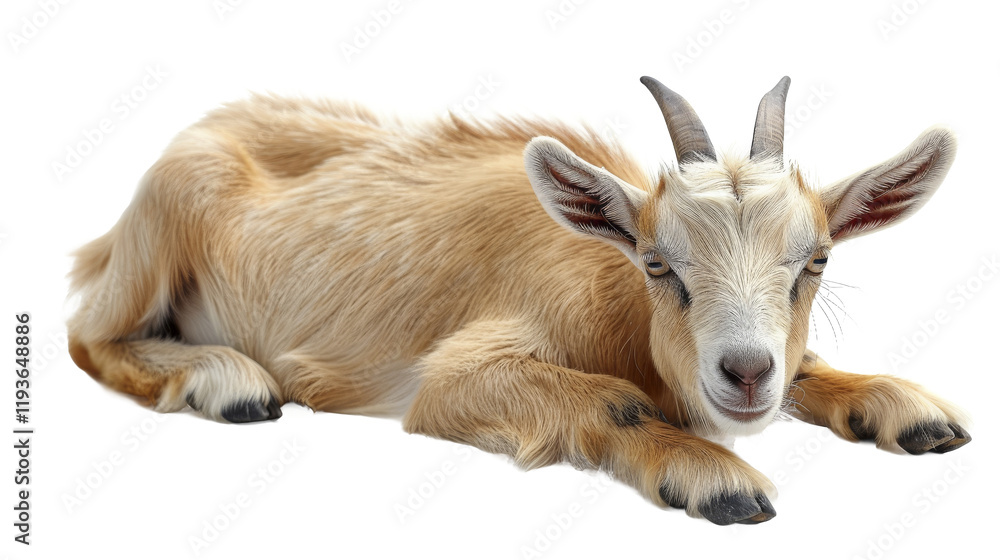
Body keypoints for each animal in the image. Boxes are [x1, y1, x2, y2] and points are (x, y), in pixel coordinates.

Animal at [67, 76, 970, 525]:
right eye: (657, 264)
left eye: (815, 261)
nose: (744, 374)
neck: (609, 293)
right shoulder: (454, 377)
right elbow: (609, 400)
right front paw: (713, 477)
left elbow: (808, 365)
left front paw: (906, 407)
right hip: (164, 218)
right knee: (88, 336)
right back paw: (226, 379)